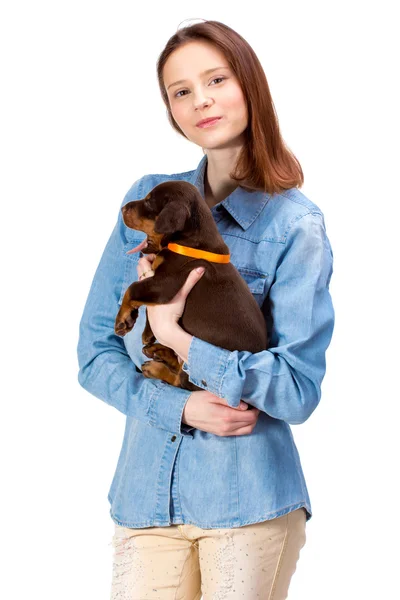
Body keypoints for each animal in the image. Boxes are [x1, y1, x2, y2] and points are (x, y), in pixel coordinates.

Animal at [113, 180, 268, 392]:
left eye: (149, 202)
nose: (122, 208)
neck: (189, 243)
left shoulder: (167, 283)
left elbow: (133, 288)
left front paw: (122, 320)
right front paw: (147, 332)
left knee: (181, 380)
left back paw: (155, 367)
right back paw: (159, 351)